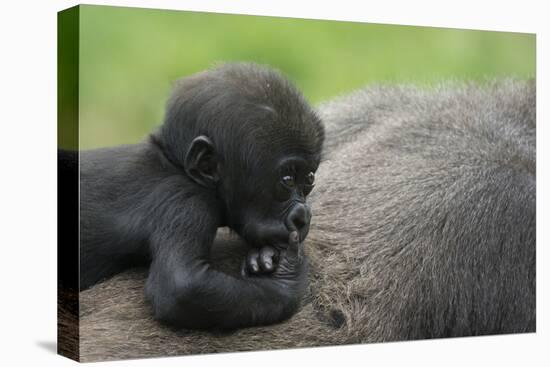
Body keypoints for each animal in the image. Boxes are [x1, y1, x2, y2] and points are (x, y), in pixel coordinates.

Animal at [80, 61, 326, 330]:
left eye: (309, 179)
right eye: (287, 180)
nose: (302, 217)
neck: (174, 164)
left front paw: (265, 260)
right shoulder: (187, 203)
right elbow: (182, 286)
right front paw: (285, 281)